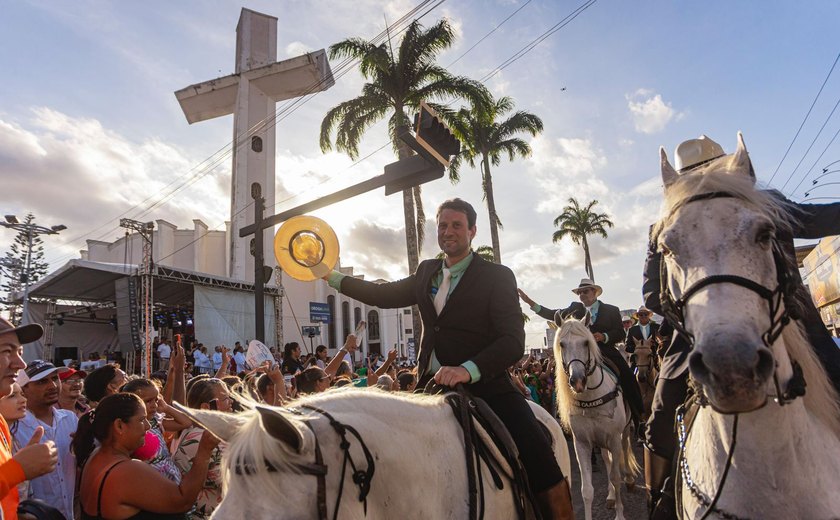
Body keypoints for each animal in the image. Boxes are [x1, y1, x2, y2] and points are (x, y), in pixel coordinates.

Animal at [556, 316, 640, 520]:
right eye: (562, 344)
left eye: (586, 342)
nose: (578, 381)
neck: (591, 397)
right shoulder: (582, 443)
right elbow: (587, 490)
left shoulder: (614, 438)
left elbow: (616, 478)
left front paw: (620, 514)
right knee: (608, 461)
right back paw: (610, 496)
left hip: (624, 431)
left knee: (624, 450)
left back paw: (629, 480)